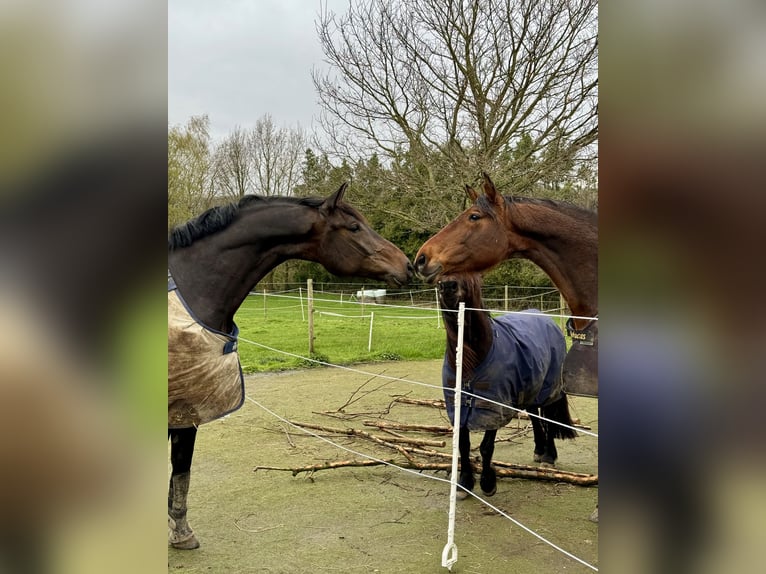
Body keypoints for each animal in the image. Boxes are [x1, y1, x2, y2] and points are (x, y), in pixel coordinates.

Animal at [168, 184, 414, 548]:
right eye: (354, 227)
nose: (408, 265)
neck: (192, 287)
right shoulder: (187, 407)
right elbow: (181, 466)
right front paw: (182, 533)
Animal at [438, 274, 576, 500]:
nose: (448, 286)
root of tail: (546, 319)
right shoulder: (457, 405)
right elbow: (463, 445)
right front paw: (464, 484)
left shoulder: (493, 406)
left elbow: (486, 447)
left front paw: (487, 484)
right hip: (531, 388)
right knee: (534, 415)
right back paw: (539, 450)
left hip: (549, 388)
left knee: (547, 417)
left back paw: (548, 457)